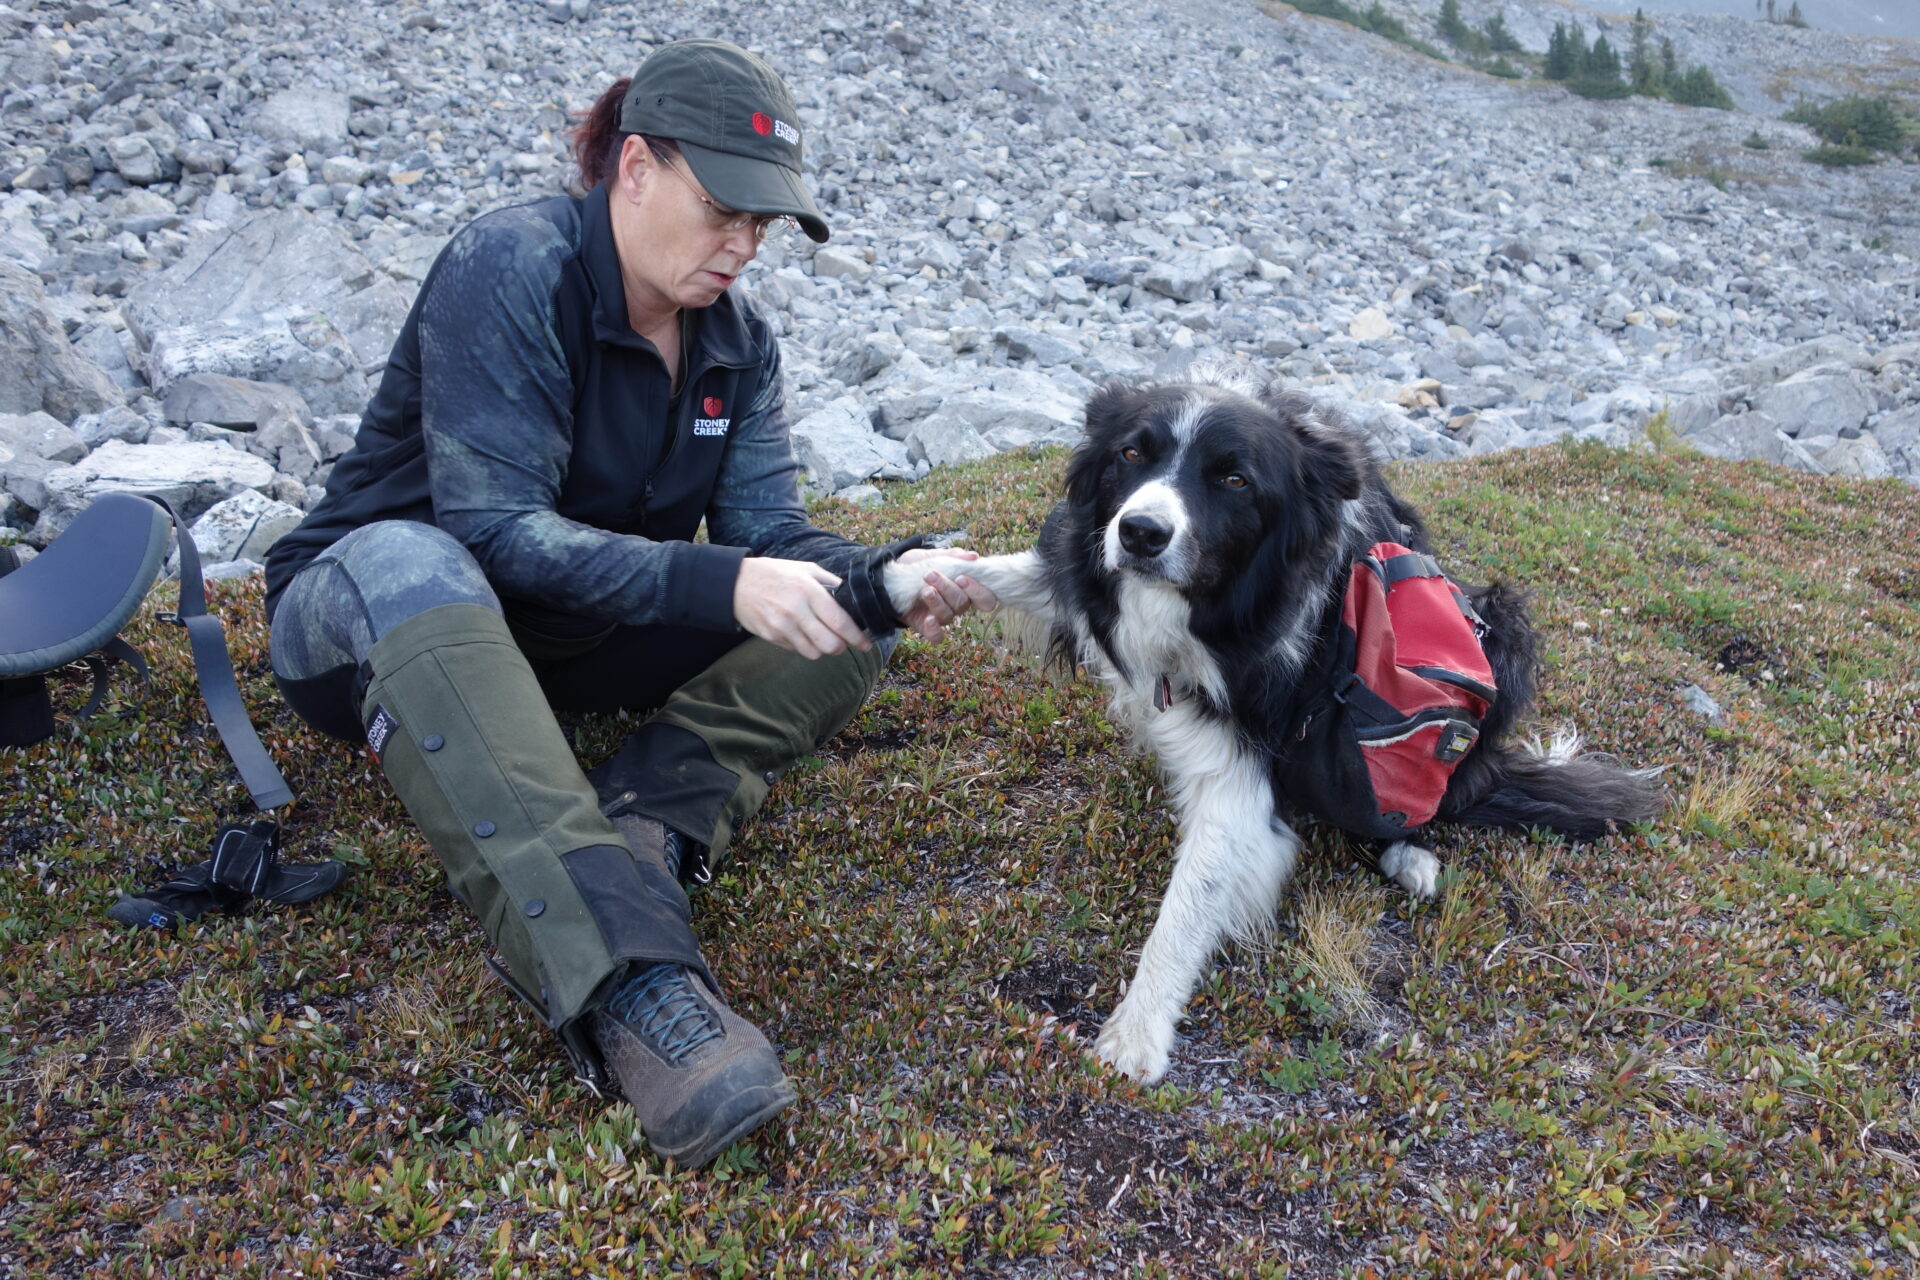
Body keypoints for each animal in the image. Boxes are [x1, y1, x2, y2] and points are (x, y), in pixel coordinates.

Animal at [883, 376, 1666, 1090]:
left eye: (1234, 480)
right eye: (1132, 454)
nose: (1140, 533)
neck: (1213, 605)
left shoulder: (1243, 763)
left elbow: (1189, 904)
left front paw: (1137, 1035)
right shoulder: (1089, 566)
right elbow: (1006, 569)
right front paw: (898, 581)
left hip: (1498, 630)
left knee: (1439, 792)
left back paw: (1410, 854)